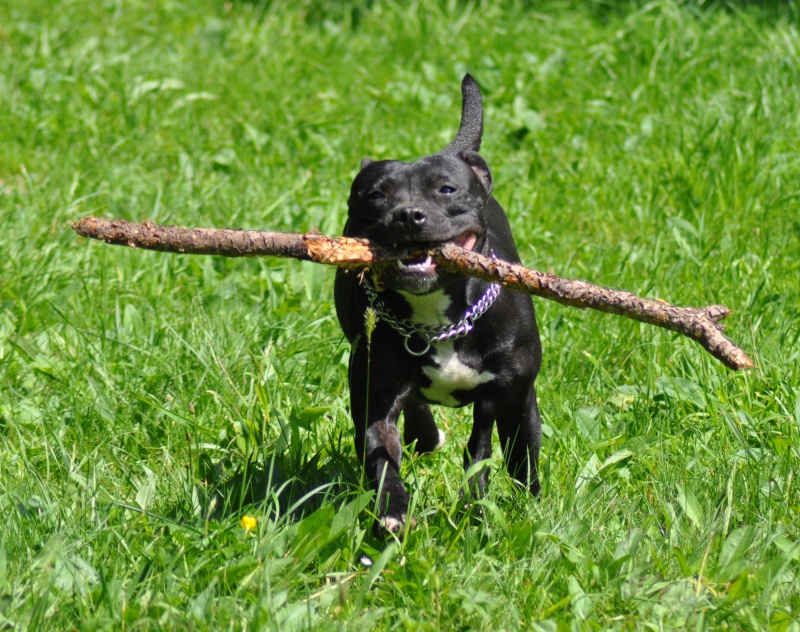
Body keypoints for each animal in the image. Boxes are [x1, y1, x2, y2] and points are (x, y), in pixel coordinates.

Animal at [332, 75, 544, 540]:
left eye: (447, 189)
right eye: (375, 196)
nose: (408, 214)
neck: (440, 322)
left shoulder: (511, 395)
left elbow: (507, 455)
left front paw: (521, 509)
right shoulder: (374, 396)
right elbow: (380, 457)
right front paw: (393, 511)